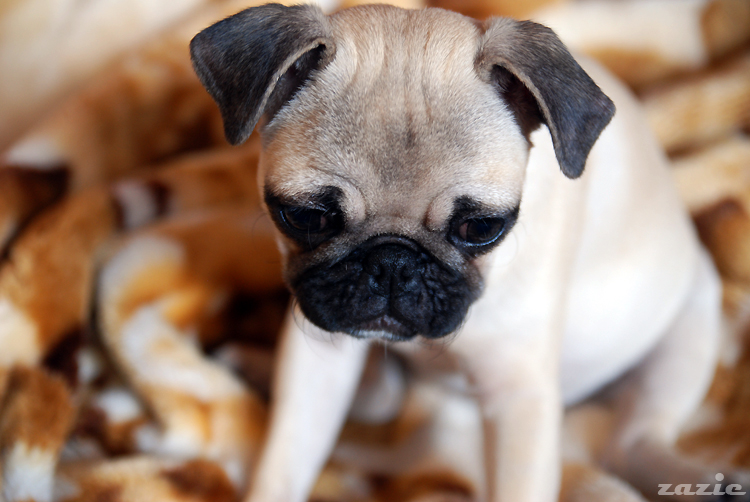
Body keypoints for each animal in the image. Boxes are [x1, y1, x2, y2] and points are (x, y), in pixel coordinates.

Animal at [189, 3, 732, 501]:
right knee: (380, 400)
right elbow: (286, 461)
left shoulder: (518, 395)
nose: (393, 262)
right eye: (306, 217)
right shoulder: (320, 356)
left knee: (629, 443)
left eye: (480, 228)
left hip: (690, 327)